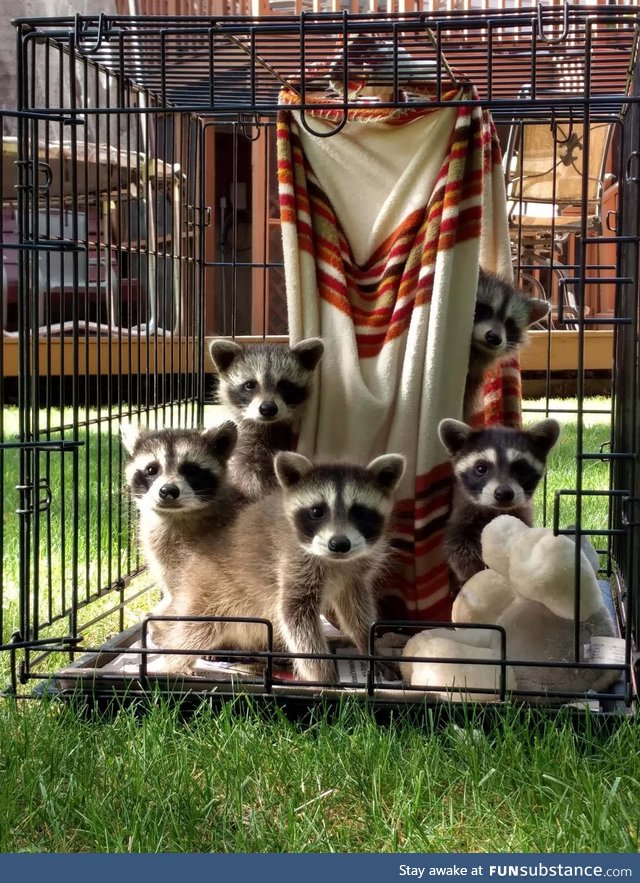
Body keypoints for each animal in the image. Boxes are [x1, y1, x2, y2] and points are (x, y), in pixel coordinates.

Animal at [150, 452, 404, 680]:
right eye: (317, 511)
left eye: (360, 512)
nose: (339, 544)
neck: (335, 561)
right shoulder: (292, 561)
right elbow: (295, 616)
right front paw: (323, 676)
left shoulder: (355, 574)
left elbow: (357, 612)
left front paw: (368, 647)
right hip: (210, 590)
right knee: (193, 631)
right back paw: (172, 662)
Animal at [440, 418, 560, 592]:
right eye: (481, 468)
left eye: (521, 468)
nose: (503, 493)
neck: (495, 510)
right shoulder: (460, 515)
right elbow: (457, 546)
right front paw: (472, 573)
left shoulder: (523, 514)